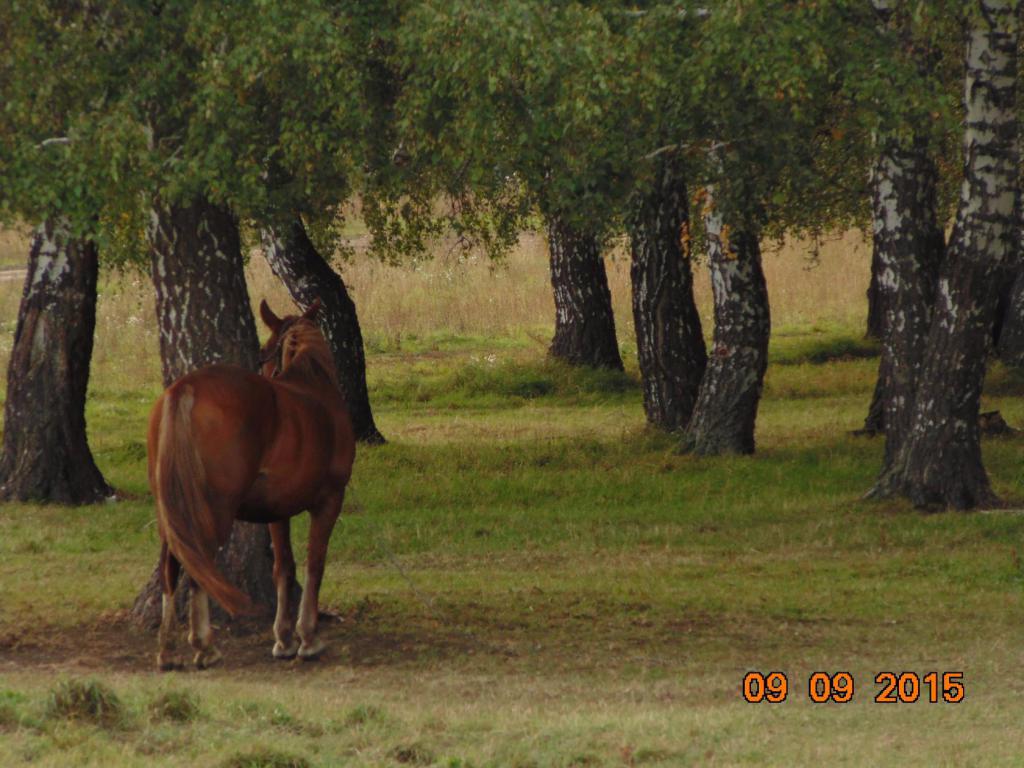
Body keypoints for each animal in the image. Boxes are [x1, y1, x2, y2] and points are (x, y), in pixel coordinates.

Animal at [147, 298, 355, 670]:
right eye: (262, 354)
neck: (314, 387)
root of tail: (185, 389)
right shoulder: (330, 500)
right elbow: (315, 563)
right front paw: (307, 638)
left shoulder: (277, 511)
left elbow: (283, 567)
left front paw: (284, 638)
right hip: (213, 510)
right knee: (198, 564)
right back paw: (204, 645)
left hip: (170, 510)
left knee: (172, 567)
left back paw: (168, 650)